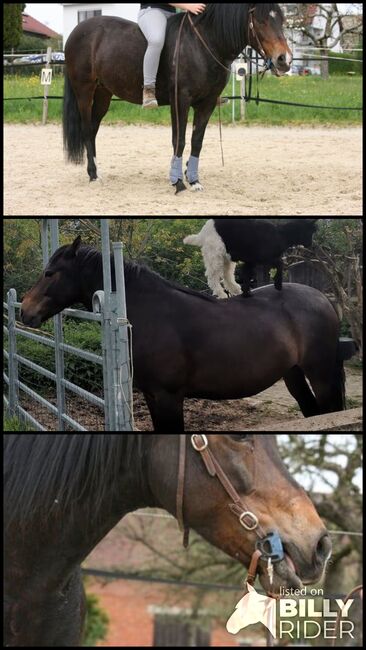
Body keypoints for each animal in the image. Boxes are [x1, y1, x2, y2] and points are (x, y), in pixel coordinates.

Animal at [20, 237, 348, 430]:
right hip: (293, 374)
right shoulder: (152, 395)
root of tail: (323, 299)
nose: (25, 311)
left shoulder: (169, 396)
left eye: (50, 273)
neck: (149, 313)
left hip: (319, 373)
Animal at [63, 5, 292, 192]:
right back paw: (93, 175)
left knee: (93, 129)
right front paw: (178, 181)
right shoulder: (180, 100)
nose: (284, 60)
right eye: (261, 21)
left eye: (281, 20)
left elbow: (196, 140)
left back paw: (94, 172)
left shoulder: (207, 103)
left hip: (103, 94)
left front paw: (194, 180)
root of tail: (77, 32)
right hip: (84, 91)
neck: (204, 43)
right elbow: (179, 140)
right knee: (86, 129)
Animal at [184, 218, 318, 298]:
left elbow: (247, 274)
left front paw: (245, 292)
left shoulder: (251, 260)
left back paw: (235, 290)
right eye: (310, 232)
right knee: (212, 277)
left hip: (226, 258)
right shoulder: (266, 257)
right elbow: (280, 264)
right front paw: (278, 285)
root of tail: (203, 233)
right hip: (215, 255)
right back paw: (221, 294)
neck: (281, 234)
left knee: (227, 275)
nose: (310, 244)